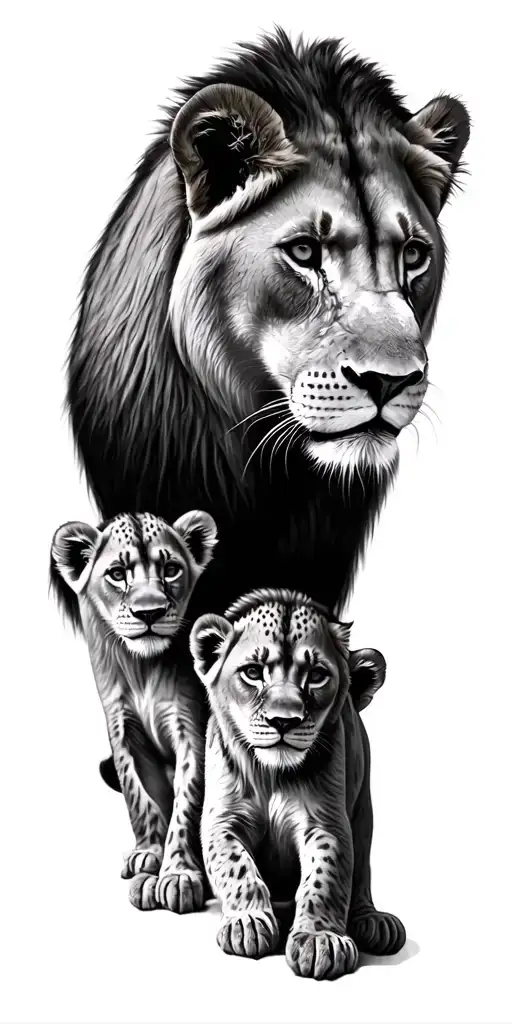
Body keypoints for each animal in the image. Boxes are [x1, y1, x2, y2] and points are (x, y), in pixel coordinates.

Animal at [51, 510, 217, 912]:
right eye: (117, 573)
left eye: (170, 569)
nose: (150, 612)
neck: (141, 668)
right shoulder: (124, 730)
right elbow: (140, 797)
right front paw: (149, 856)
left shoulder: (190, 728)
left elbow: (187, 802)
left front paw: (179, 874)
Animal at [190, 588, 405, 980]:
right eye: (253, 672)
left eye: (317, 675)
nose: (283, 721)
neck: (272, 775)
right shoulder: (222, 819)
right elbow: (234, 865)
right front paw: (247, 922)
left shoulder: (327, 823)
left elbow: (327, 877)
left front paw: (320, 940)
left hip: (363, 812)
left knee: (362, 874)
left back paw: (374, 922)